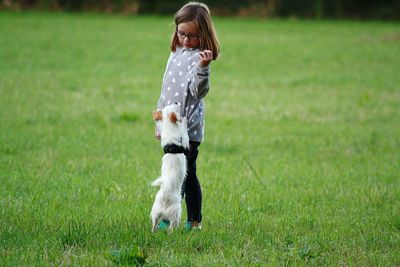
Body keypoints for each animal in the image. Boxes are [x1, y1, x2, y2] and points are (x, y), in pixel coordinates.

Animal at [150, 103, 189, 233]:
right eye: (176, 108)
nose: (176, 103)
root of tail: (165, 195)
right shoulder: (185, 142)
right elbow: (185, 133)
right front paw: (185, 120)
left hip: (155, 212)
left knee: (154, 225)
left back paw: (154, 232)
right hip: (176, 212)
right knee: (172, 228)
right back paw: (173, 233)